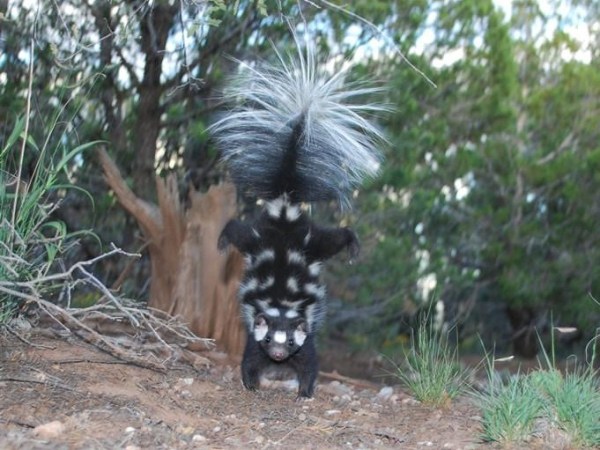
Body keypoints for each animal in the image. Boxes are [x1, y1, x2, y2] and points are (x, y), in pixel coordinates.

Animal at [213, 42, 386, 398]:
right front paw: (252, 383)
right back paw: (222, 241)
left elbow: (310, 363)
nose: (279, 355)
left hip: (312, 243)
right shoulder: (254, 336)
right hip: (261, 237)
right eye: (269, 339)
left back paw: (352, 244)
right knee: (237, 230)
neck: (281, 306)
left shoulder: (306, 340)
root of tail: (284, 210)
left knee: (336, 237)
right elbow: (249, 360)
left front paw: (304, 391)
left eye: (290, 341)